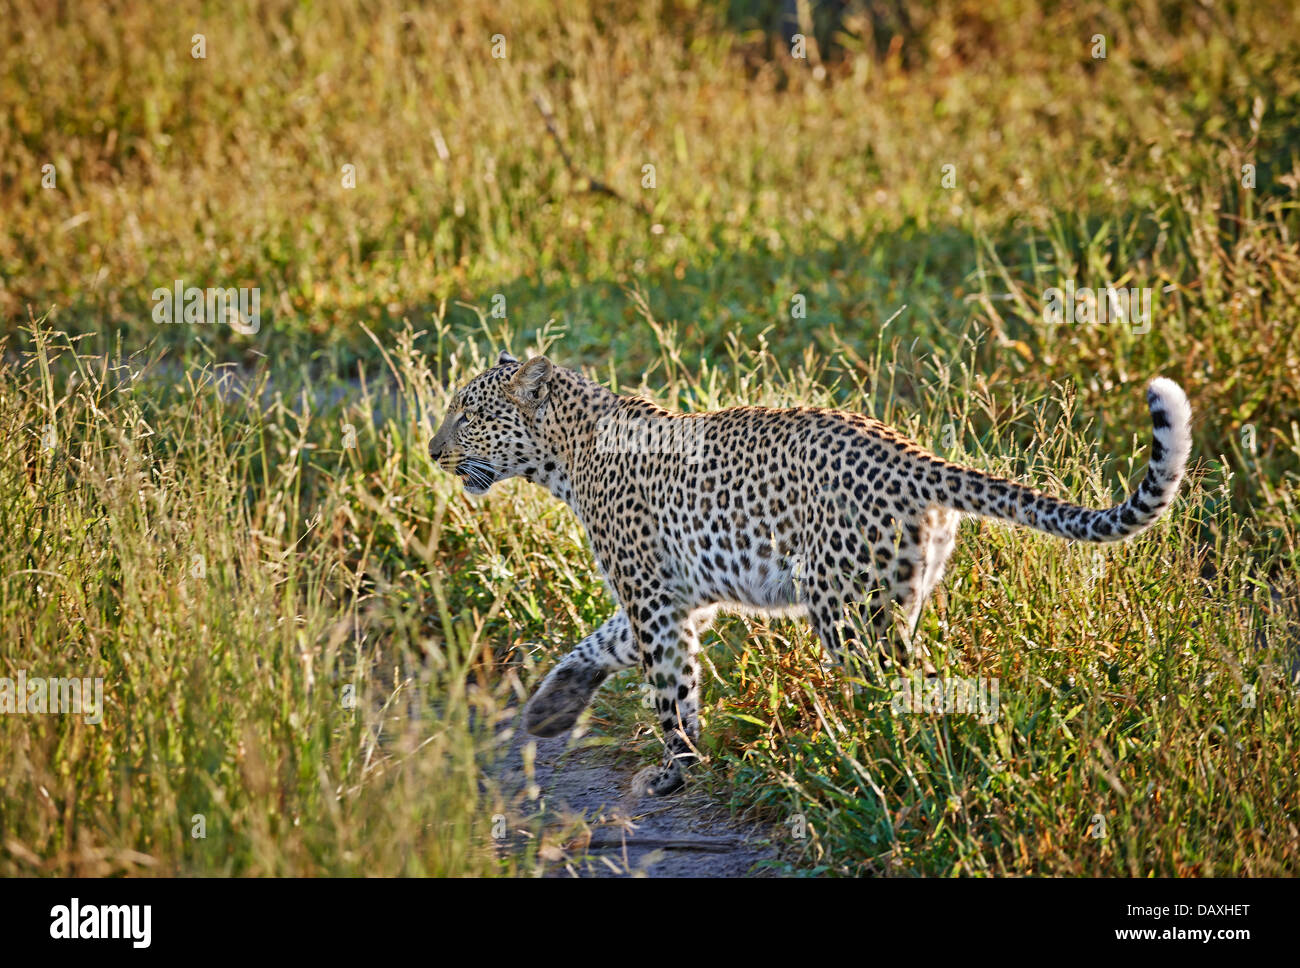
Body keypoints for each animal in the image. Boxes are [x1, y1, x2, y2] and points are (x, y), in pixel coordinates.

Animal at [431, 350, 1190, 795]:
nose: (433, 450)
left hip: (845, 610)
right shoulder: (677, 597)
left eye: (467, 413)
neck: (564, 454)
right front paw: (553, 706)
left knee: (901, 688)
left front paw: (677, 766)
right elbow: (606, 645)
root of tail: (912, 455)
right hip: (894, 597)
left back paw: (882, 762)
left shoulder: (653, 597)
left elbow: (668, 685)